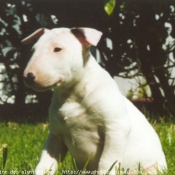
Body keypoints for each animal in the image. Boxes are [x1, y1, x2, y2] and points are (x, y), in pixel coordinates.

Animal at [21, 27, 167, 175]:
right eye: (33, 49)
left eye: (57, 49)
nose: (28, 76)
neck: (72, 95)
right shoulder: (56, 135)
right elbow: (46, 161)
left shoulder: (115, 128)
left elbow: (107, 160)